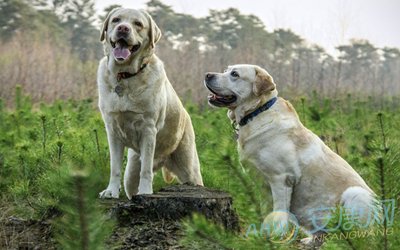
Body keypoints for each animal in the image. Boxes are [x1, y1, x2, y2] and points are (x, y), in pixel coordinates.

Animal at [97, 8, 203, 199]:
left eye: (138, 24)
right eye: (116, 20)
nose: (123, 28)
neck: (125, 76)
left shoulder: (148, 129)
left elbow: (145, 171)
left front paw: (146, 192)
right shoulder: (113, 130)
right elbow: (114, 168)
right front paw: (111, 191)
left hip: (190, 170)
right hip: (131, 172)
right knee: (131, 183)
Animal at [205, 64, 380, 240]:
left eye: (235, 74)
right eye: (226, 70)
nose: (207, 75)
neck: (258, 111)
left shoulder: (282, 178)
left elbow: (279, 212)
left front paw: (275, 235)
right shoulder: (264, 184)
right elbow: (267, 211)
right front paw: (262, 234)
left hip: (355, 194)